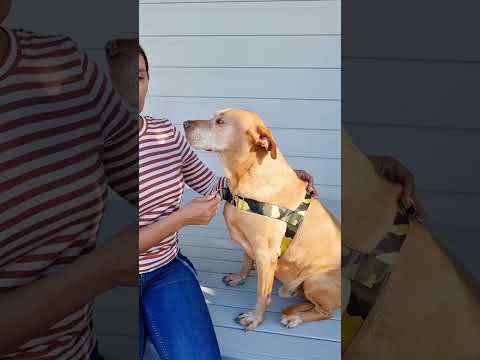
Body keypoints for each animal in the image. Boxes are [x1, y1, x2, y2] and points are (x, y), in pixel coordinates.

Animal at [184, 108, 342, 330]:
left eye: (220, 122)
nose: (184, 124)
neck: (245, 177)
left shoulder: (265, 254)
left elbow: (262, 294)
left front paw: (255, 318)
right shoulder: (250, 244)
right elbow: (245, 261)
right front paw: (239, 278)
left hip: (316, 281)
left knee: (325, 312)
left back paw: (295, 317)